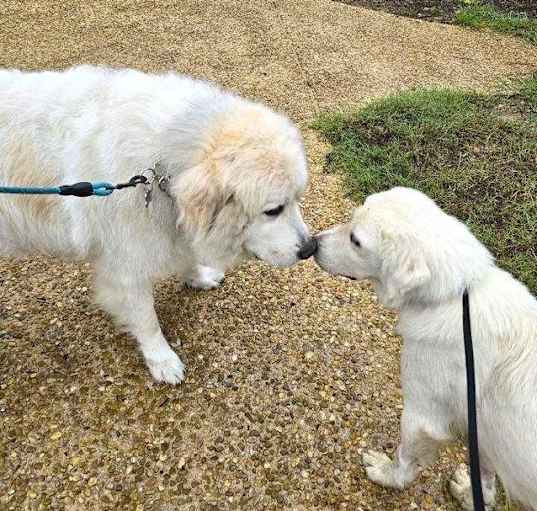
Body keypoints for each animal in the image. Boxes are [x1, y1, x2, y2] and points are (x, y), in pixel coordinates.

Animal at [0, 64, 314, 384]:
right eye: (273, 210)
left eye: (297, 198)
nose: (310, 248)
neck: (163, 163)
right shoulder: (128, 267)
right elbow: (146, 320)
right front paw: (161, 359)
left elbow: (187, 258)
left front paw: (199, 278)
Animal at [314, 188, 536, 511]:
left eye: (356, 240)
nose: (312, 244)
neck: (454, 295)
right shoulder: (485, 434)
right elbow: (485, 477)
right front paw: (471, 496)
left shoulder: (421, 416)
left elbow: (406, 462)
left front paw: (387, 475)